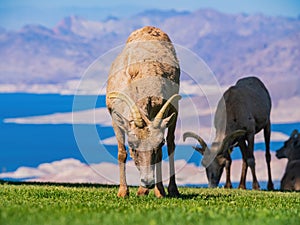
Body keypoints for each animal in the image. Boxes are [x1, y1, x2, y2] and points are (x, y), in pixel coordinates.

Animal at [105, 25, 180, 197]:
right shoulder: (116, 120)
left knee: (171, 145)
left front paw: (156, 192)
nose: (148, 182)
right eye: (133, 145)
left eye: (159, 143)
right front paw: (123, 192)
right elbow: (121, 153)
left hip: (174, 111)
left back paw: (172, 190)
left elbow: (161, 154)